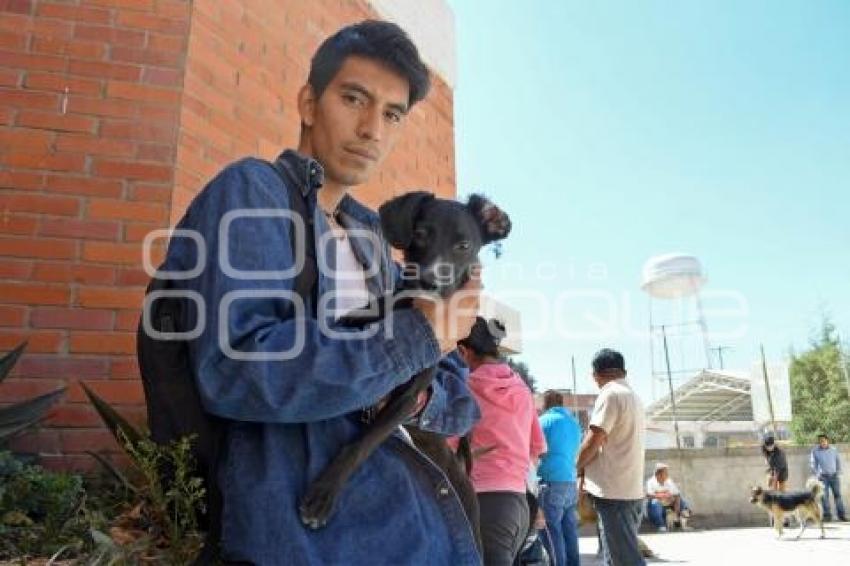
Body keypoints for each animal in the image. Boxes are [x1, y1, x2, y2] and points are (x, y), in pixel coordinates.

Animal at [298, 192, 510, 552]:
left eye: (464, 245)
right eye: (421, 234)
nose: (430, 280)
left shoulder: (409, 398)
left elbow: (364, 442)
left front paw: (323, 495)